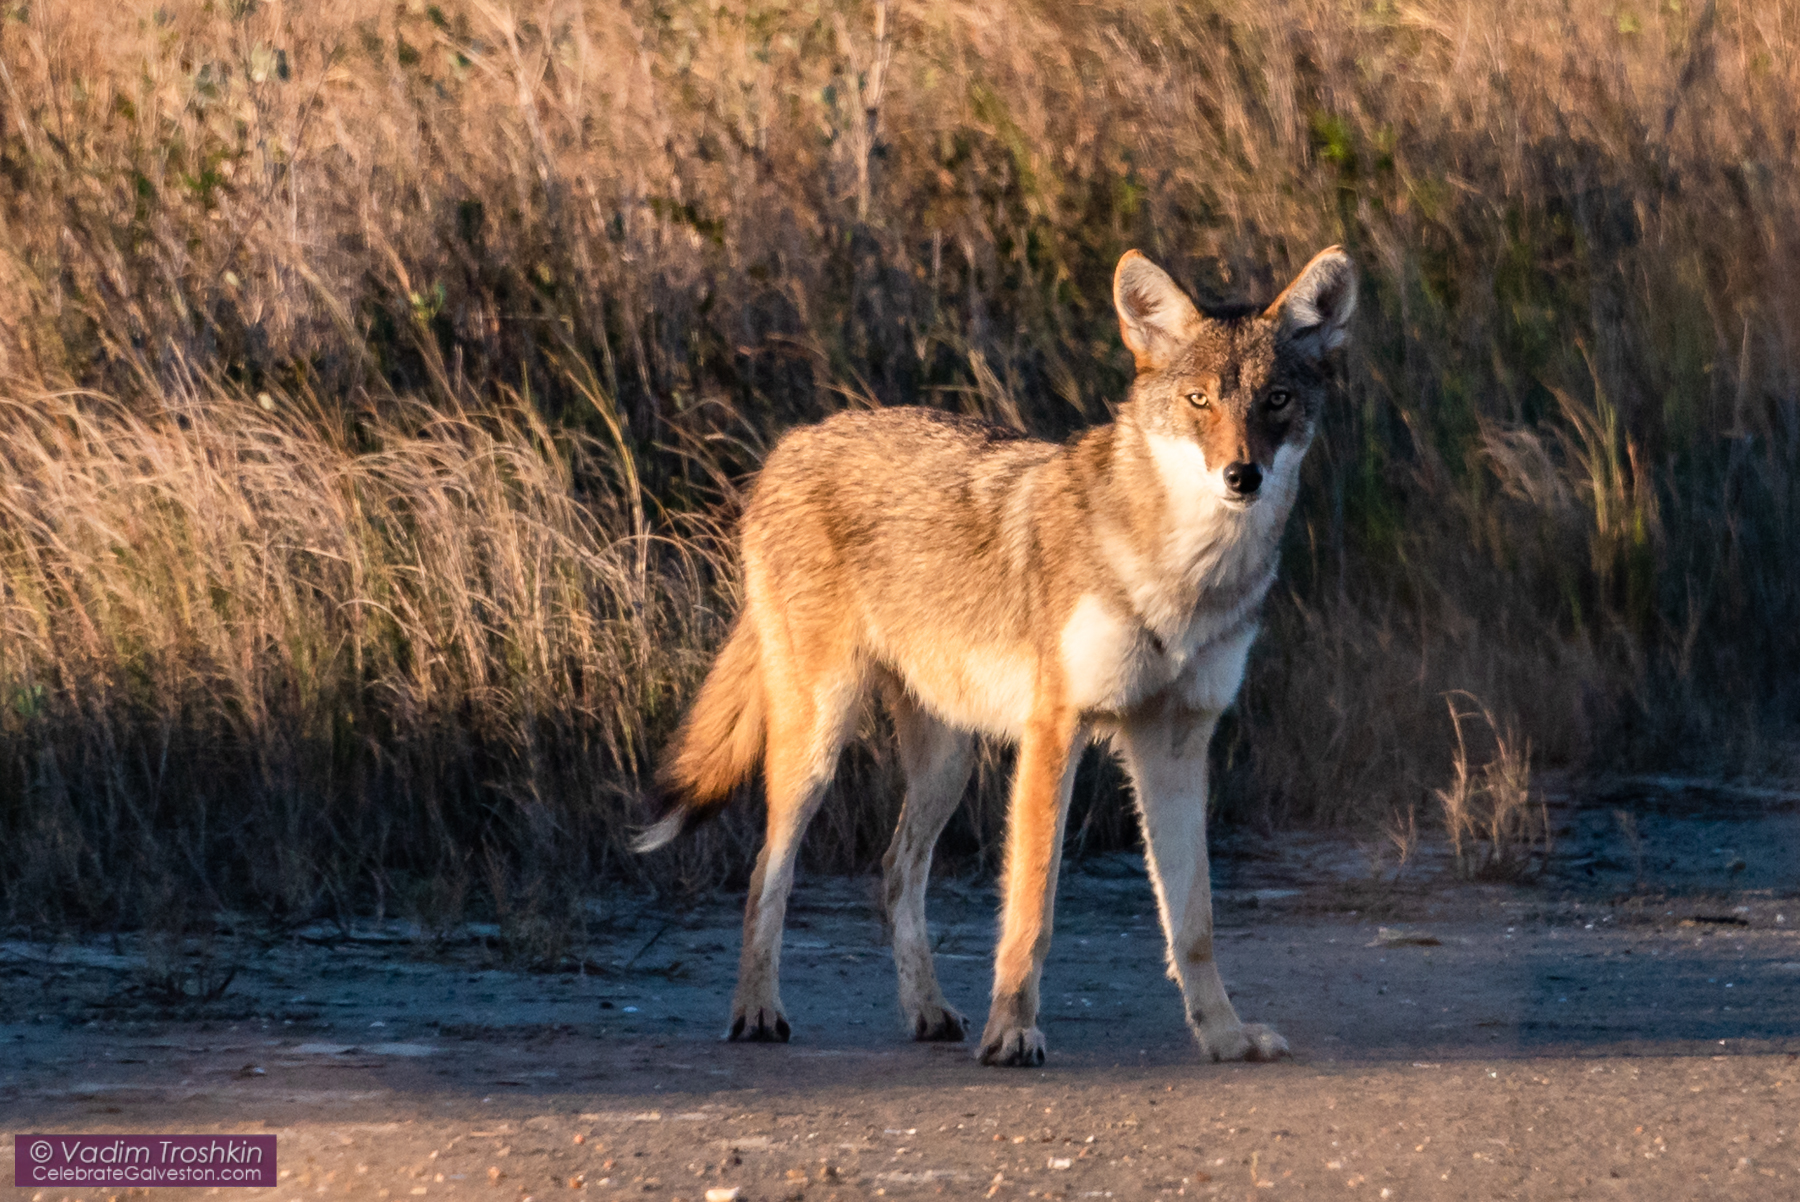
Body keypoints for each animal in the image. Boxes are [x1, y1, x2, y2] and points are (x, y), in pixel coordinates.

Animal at [636, 246, 1356, 1065]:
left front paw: (1225, 1037)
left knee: (895, 873)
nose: (1242, 476)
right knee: (767, 872)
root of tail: (796, 440)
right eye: (1200, 401)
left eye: (1275, 400)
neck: (1186, 575)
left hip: (947, 762)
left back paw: (928, 1012)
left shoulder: (1175, 742)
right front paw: (1012, 1032)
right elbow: (1032, 909)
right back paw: (757, 1012)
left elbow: (1193, 921)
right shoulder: (1054, 732)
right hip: (816, 747)